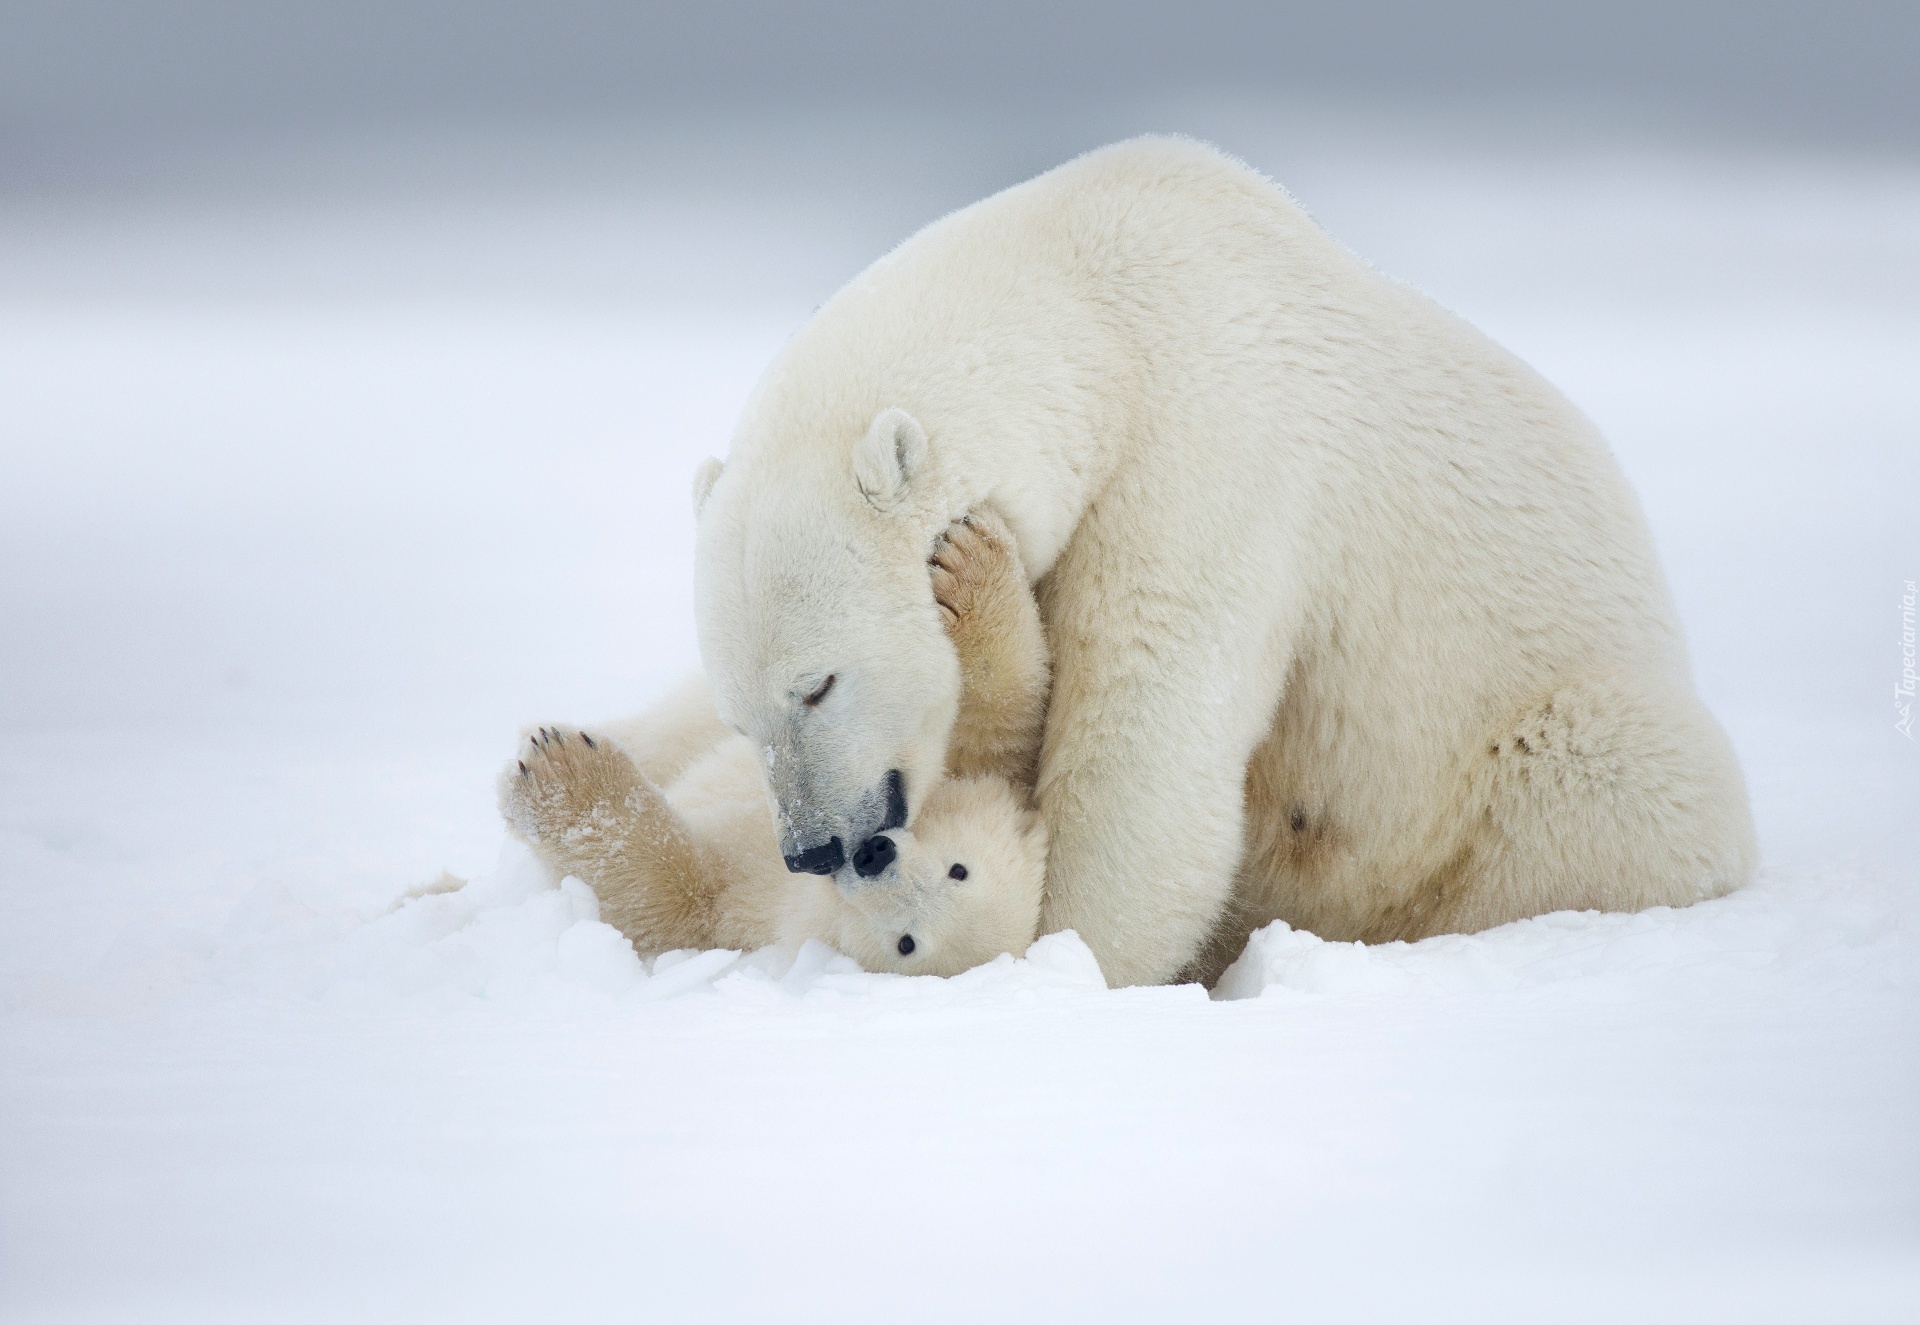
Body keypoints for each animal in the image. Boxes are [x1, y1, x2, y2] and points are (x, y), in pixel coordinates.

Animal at [675, 136, 1758, 979]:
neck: (1098, 305)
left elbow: (1146, 739)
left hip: (1541, 743)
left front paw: (1061, 957)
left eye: (817, 683)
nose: (814, 846)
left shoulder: (1209, 452)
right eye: (744, 713)